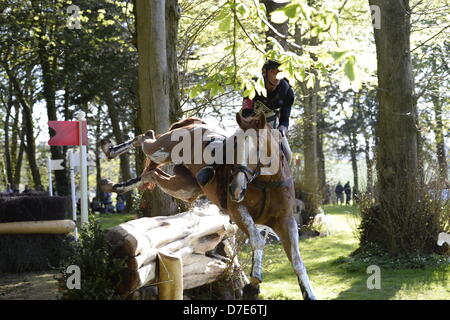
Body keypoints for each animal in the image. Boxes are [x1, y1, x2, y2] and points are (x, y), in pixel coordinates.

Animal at [100, 112, 314, 300]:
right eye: (234, 147)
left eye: (258, 148)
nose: (235, 190)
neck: (267, 182)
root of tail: (193, 122)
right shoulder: (238, 212)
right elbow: (257, 240)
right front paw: (253, 284)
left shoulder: (286, 222)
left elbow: (297, 261)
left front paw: (308, 293)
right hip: (161, 150)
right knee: (145, 138)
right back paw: (109, 150)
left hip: (185, 187)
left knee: (150, 175)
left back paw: (117, 185)